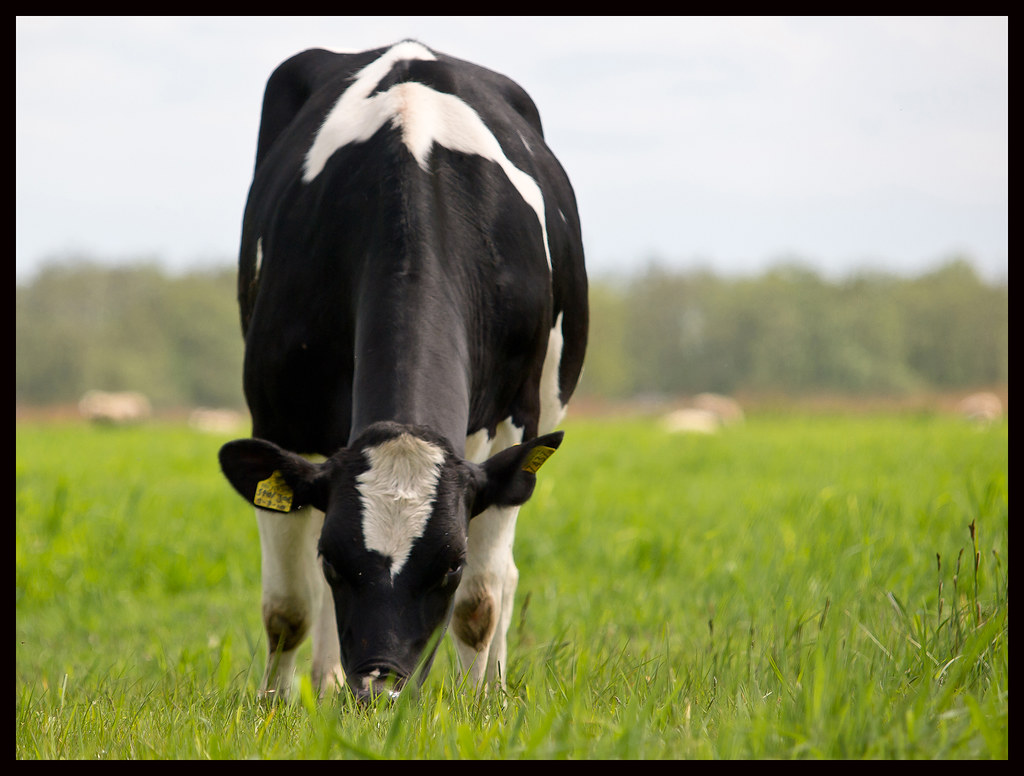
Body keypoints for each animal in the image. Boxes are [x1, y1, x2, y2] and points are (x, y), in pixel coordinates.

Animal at [218, 41, 588, 703]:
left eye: (449, 566)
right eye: (334, 562)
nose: (380, 689)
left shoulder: (514, 419)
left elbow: (479, 602)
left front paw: (476, 709)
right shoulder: (277, 414)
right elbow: (287, 607)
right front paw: (274, 707)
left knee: (506, 577)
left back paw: (492, 686)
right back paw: (327, 682)